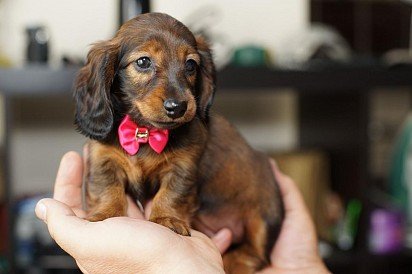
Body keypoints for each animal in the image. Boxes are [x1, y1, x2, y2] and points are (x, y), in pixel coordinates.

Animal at [74, 12, 284, 272]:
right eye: (143, 62)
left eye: (191, 65)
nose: (178, 107)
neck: (144, 131)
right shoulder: (103, 159)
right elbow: (107, 187)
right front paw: (105, 214)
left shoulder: (183, 166)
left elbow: (172, 193)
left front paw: (166, 219)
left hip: (265, 213)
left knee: (255, 254)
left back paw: (234, 262)